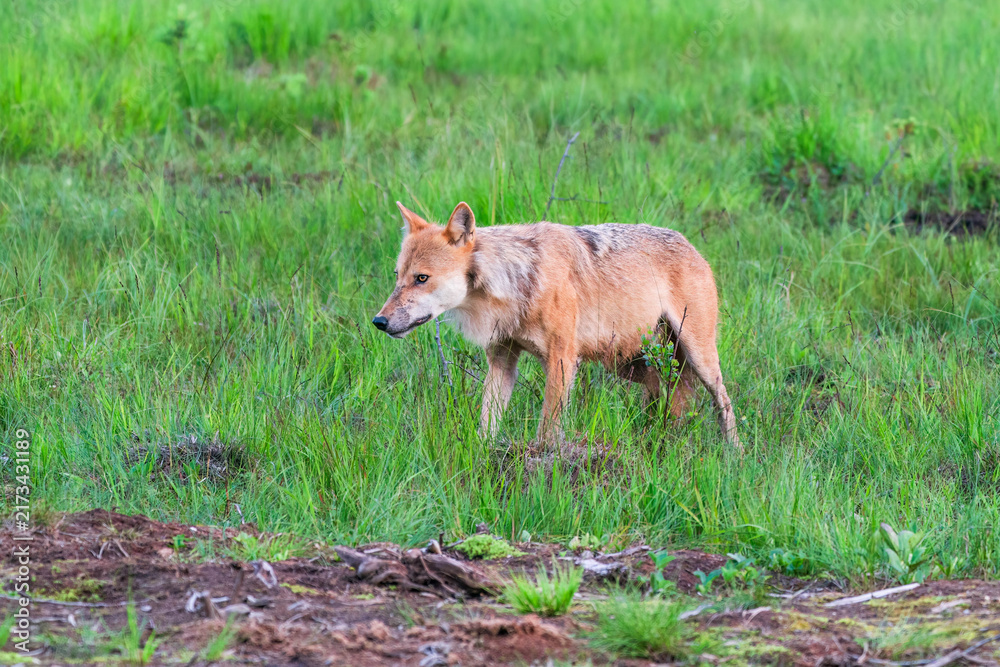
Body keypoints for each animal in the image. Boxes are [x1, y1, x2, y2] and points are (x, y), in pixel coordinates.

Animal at [373, 201, 742, 450]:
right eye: (398, 276)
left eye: (422, 278)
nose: (379, 321)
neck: (515, 282)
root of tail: (691, 245)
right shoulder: (502, 362)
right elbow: (486, 425)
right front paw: (482, 456)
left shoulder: (562, 360)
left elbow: (547, 429)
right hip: (633, 364)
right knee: (666, 398)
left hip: (697, 358)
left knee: (723, 401)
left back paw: (734, 454)